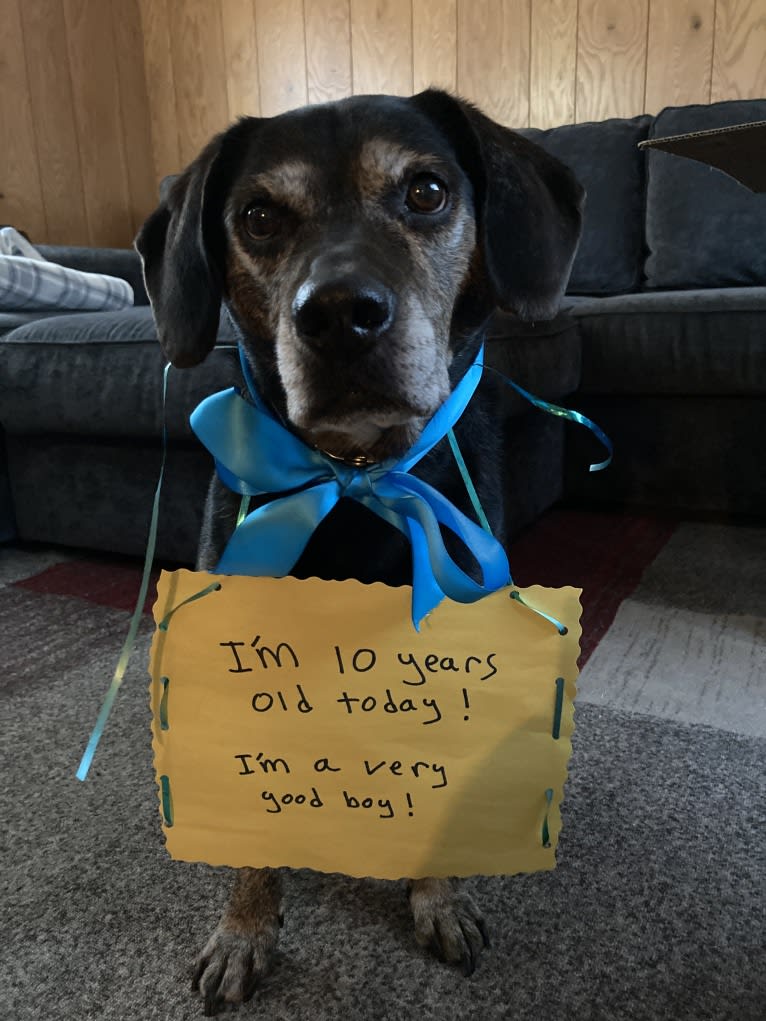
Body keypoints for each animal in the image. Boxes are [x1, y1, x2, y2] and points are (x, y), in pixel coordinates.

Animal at [136, 91, 580, 1016]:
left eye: (427, 191)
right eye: (258, 216)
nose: (338, 312)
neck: (354, 476)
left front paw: (439, 896)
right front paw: (244, 929)